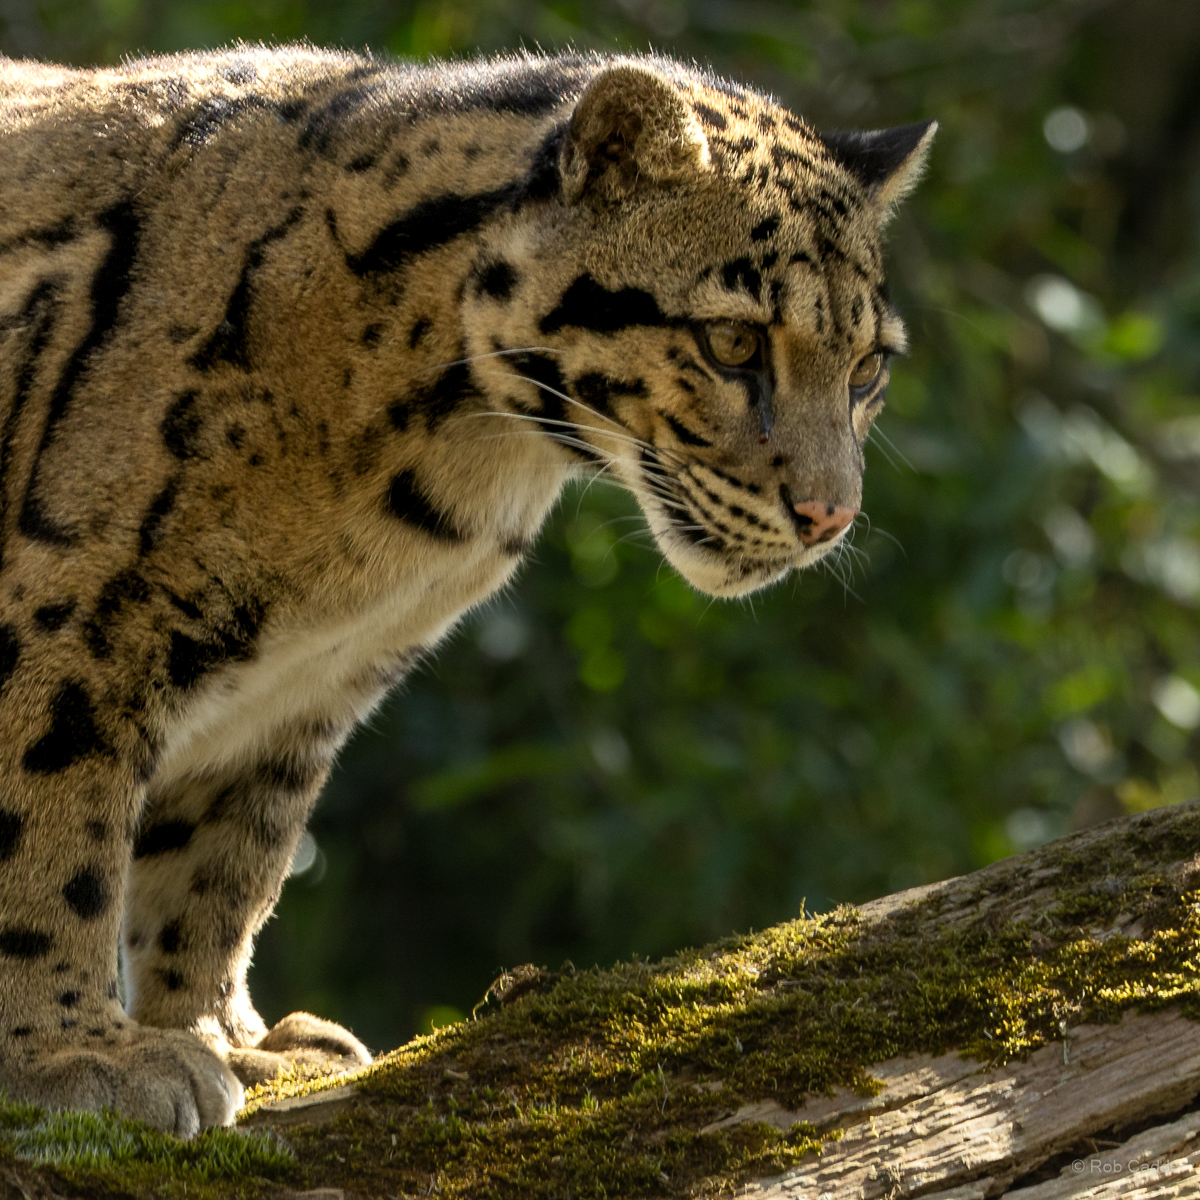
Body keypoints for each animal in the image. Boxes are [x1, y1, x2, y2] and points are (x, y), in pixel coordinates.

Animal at [0, 44, 934, 1134]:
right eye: (735, 344)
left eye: (868, 368)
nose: (831, 515)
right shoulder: (67, 612)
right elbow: (49, 838)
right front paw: (70, 1054)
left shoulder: (299, 693)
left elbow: (226, 872)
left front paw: (224, 1039)